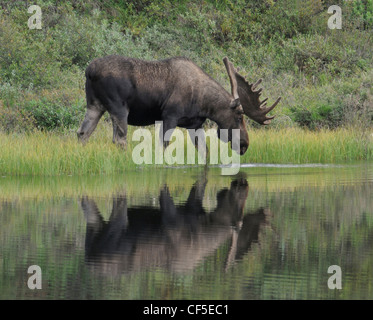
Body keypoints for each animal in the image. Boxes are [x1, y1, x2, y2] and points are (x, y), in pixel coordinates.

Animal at [77, 55, 280, 155]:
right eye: (239, 117)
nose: (245, 144)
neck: (205, 103)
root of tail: (89, 71)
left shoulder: (195, 124)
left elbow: (204, 152)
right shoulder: (169, 115)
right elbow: (163, 145)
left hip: (94, 105)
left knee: (82, 133)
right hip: (118, 108)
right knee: (119, 139)